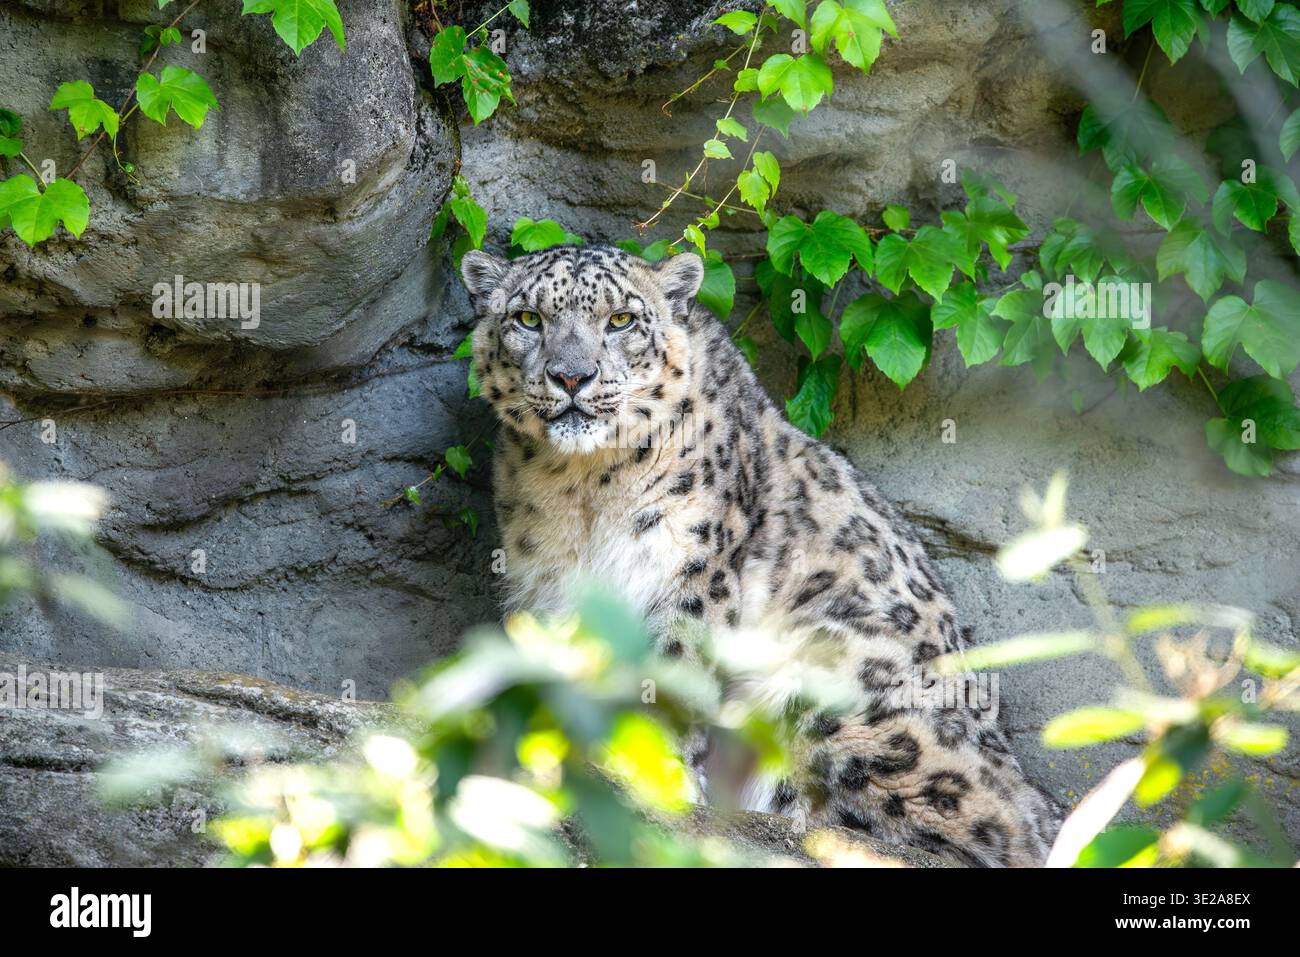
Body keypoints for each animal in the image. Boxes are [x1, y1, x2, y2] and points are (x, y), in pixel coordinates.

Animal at [460, 242, 1059, 867]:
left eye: (620, 319)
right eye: (529, 319)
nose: (572, 376)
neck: (583, 491)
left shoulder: (693, 569)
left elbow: (671, 669)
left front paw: (655, 772)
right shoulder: (544, 582)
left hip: (841, 674)